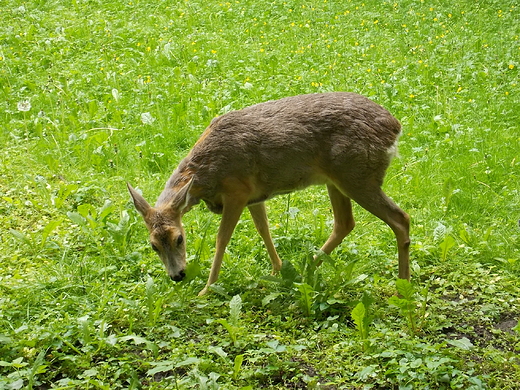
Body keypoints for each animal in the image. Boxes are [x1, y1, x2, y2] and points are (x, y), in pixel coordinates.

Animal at [127, 93, 410, 296]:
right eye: (153, 245)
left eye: (180, 238)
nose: (177, 276)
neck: (207, 175)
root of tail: (395, 128)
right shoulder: (254, 196)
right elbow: (263, 229)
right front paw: (277, 270)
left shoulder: (237, 190)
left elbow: (222, 239)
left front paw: (206, 290)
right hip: (337, 180)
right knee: (345, 223)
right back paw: (305, 271)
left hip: (357, 175)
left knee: (400, 218)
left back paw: (403, 286)